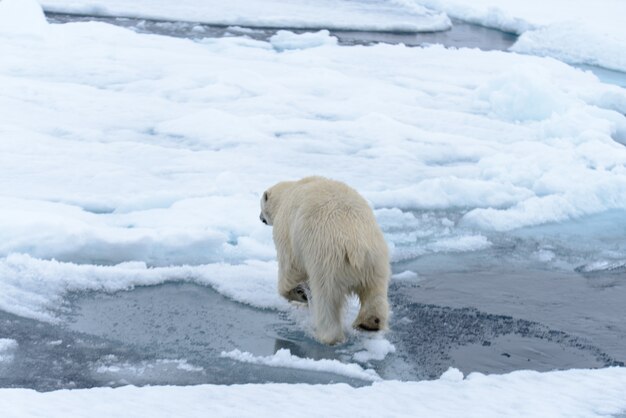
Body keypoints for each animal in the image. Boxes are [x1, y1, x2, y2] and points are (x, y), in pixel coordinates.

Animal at [258, 176, 386, 342]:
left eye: (261, 205)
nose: (260, 218)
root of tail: (356, 246)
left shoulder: (286, 231)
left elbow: (290, 268)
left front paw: (300, 293)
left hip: (327, 261)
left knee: (327, 299)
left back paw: (327, 336)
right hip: (376, 259)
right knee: (375, 291)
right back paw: (369, 323)